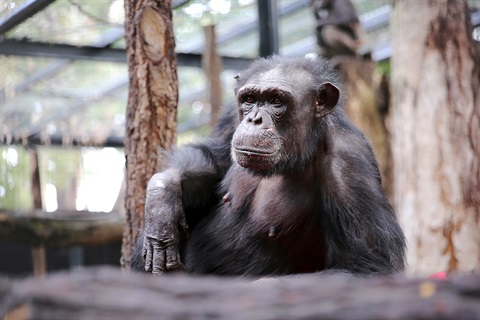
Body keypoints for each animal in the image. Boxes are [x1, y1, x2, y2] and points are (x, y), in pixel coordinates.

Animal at [133, 56, 406, 276]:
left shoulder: (349, 167)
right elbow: (214, 158)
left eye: (276, 101)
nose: (254, 119)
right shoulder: (231, 118)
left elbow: (367, 267)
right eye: (249, 99)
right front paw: (162, 201)